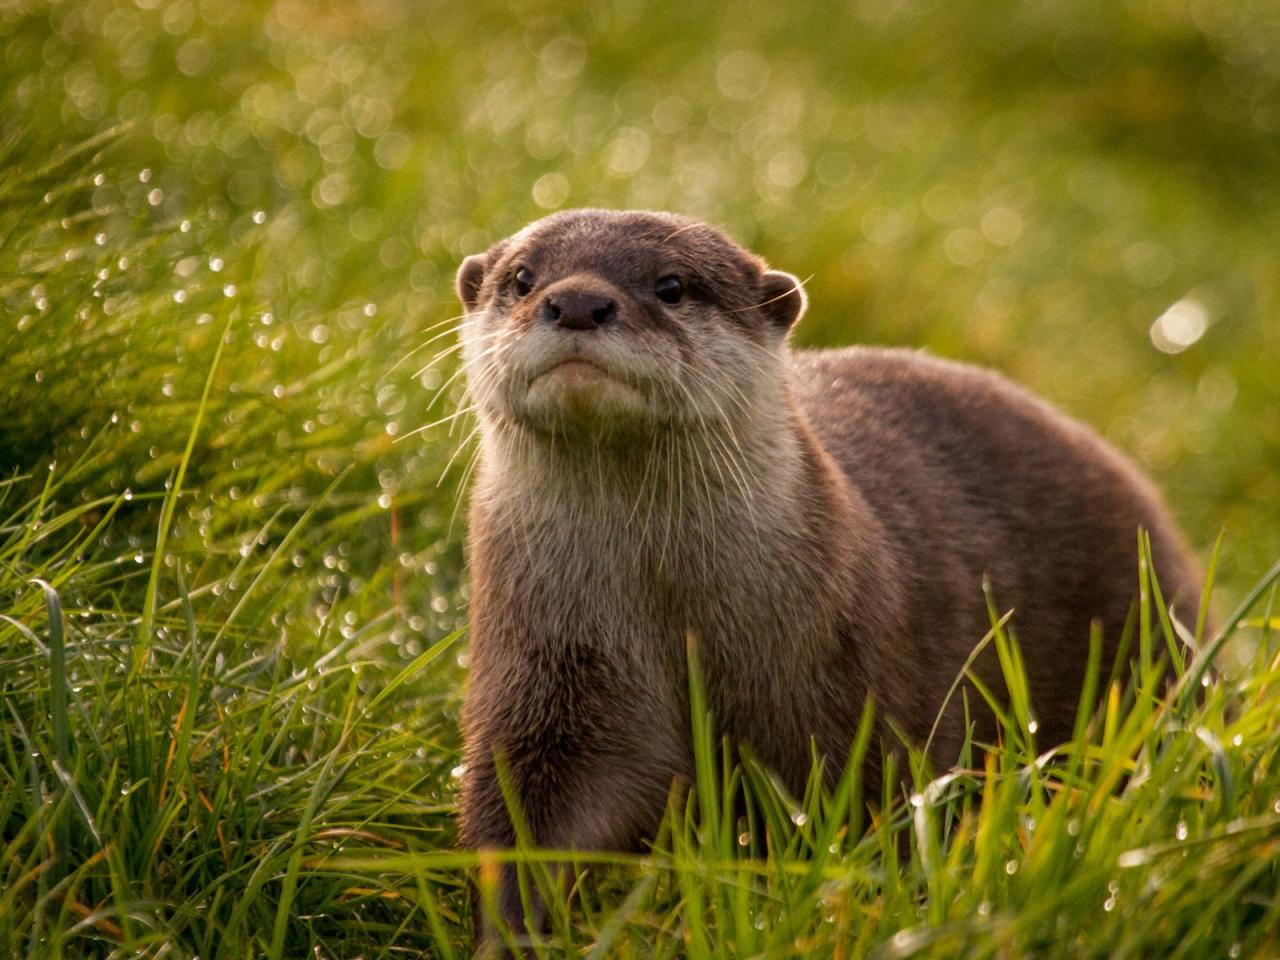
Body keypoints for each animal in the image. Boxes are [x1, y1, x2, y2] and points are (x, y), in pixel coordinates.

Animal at [450, 208, 1198, 942]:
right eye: (522, 278)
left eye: (671, 285)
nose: (577, 301)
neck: (671, 616)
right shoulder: (547, 680)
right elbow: (527, 817)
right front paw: (511, 933)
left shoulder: (854, 692)